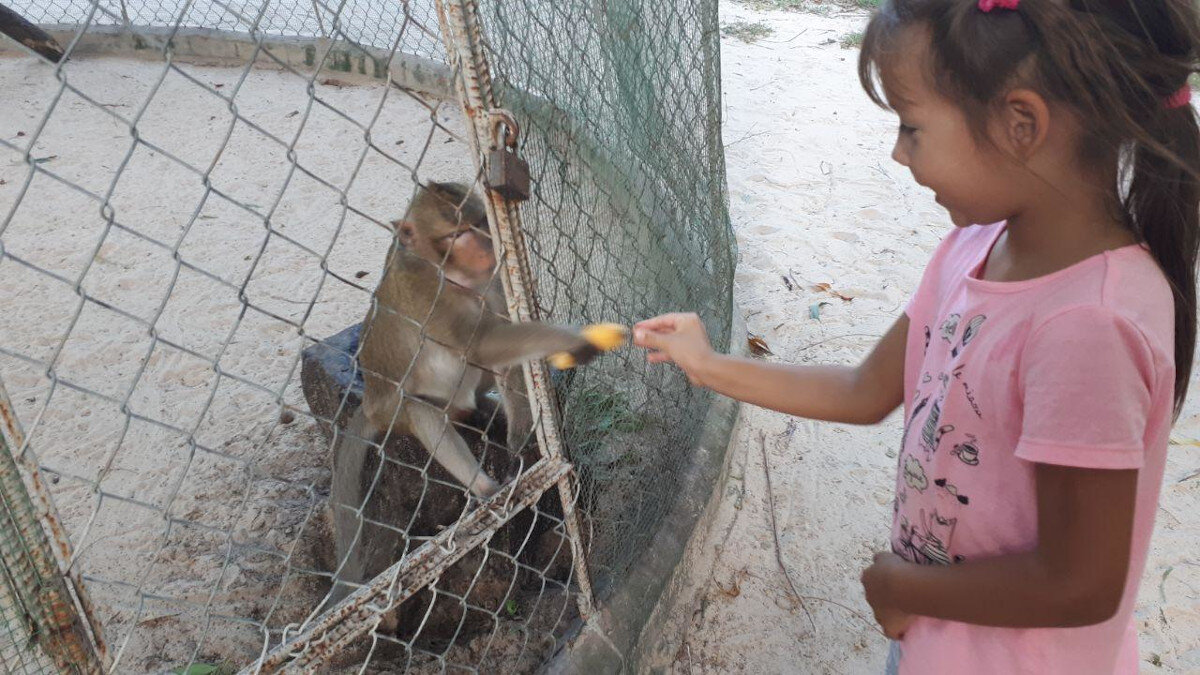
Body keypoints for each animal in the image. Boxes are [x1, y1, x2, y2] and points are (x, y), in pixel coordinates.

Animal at [326, 180, 619, 605]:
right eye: (457, 234)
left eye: (482, 221)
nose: (486, 245)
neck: (451, 272)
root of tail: (370, 402)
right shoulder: (426, 292)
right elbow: (482, 343)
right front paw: (570, 339)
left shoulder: (494, 278)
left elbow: (501, 344)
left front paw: (519, 438)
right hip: (394, 411)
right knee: (423, 412)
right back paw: (485, 486)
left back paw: (483, 410)